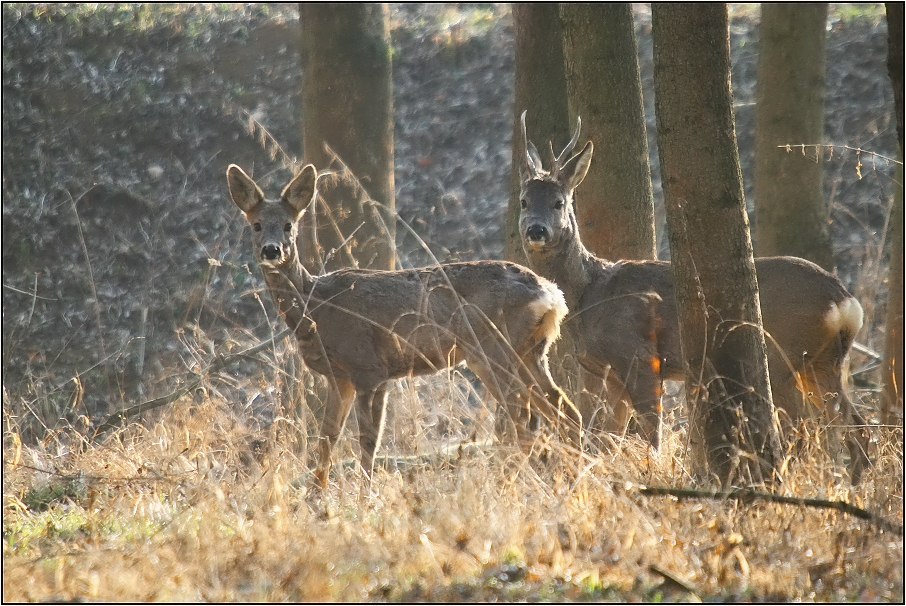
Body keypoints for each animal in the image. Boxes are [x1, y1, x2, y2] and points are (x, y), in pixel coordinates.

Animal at [225, 164, 580, 492]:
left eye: (289, 225)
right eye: (256, 225)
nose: (272, 249)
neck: (317, 309)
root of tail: (551, 295)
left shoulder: (367, 368)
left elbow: (367, 440)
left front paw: (364, 497)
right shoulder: (343, 377)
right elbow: (328, 438)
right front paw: (316, 498)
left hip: (492, 348)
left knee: (524, 414)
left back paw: (519, 482)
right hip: (531, 350)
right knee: (559, 404)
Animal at [516, 111, 868, 484]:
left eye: (559, 202)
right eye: (524, 201)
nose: (536, 229)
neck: (589, 297)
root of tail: (844, 300)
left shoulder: (640, 356)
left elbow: (650, 434)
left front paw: (648, 473)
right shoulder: (608, 373)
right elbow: (604, 438)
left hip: (783, 356)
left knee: (803, 428)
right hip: (823, 361)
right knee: (854, 426)